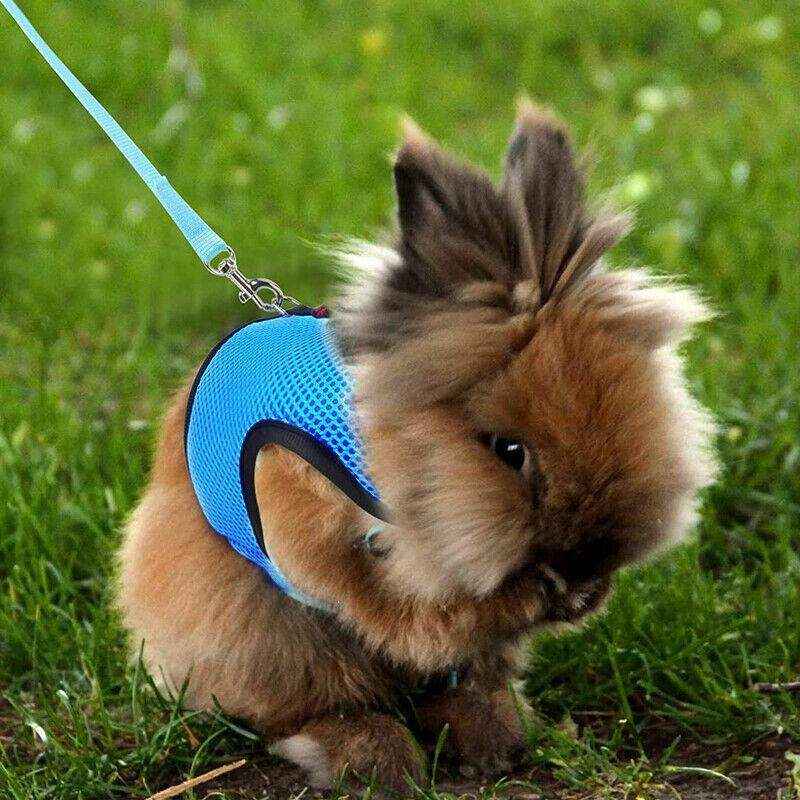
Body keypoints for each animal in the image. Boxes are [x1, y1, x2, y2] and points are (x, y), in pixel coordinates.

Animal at [118, 102, 716, 791]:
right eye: (508, 450)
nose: (586, 568)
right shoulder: (301, 519)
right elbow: (401, 615)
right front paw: (534, 596)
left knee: (461, 683)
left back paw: (495, 740)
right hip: (264, 630)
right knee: (312, 705)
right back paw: (378, 762)